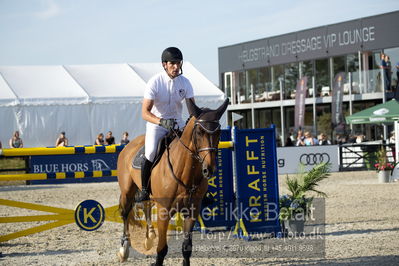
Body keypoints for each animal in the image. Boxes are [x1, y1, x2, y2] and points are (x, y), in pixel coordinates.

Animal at [117, 98, 228, 264]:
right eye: (199, 132)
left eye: (219, 132)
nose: (209, 169)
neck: (184, 172)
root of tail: (128, 145)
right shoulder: (164, 212)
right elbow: (162, 249)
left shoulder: (191, 212)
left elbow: (186, 248)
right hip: (127, 192)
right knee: (125, 213)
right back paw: (124, 249)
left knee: (145, 206)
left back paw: (150, 236)